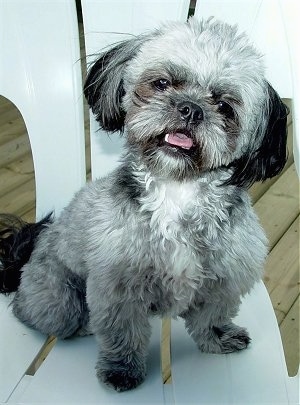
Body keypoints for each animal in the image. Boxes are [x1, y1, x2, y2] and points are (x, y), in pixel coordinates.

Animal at [0, 17, 288, 390]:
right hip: (58, 302)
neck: (177, 192)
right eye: (162, 83)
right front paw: (122, 368)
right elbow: (123, 333)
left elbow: (212, 316)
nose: (190, 109)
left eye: (225, 106)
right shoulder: (117, 288)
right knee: (37, 312)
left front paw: (218, 337)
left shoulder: (223, 280)